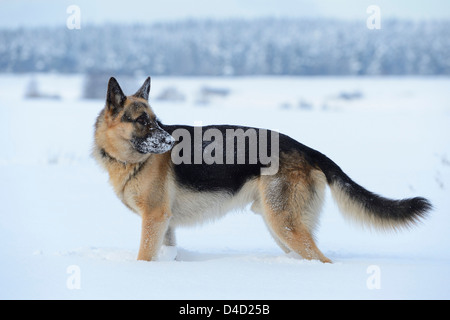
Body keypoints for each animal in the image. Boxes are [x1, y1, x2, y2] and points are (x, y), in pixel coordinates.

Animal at [92, 77, 432, 262]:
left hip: (282, 223)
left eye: (156, 121)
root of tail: (307, 149)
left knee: (322, 259)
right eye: (141, 120)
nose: (172, 141)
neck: (130, 160)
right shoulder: (165, 223)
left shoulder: (154, 218)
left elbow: (144, 256)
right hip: (280, 225)